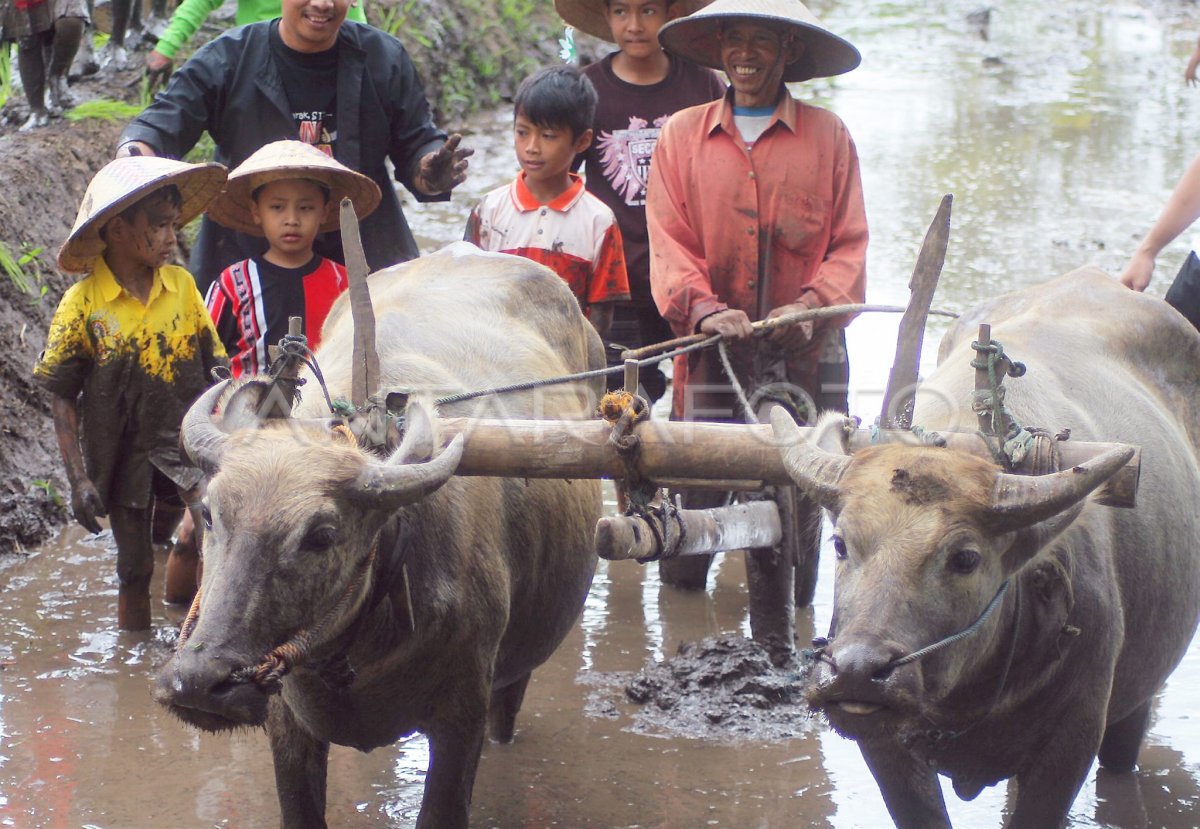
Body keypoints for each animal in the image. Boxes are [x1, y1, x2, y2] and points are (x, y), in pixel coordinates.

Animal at [772, 268, 1195, 825]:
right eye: (841, 544)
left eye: (966, 558)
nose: (858, 671)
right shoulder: (886, 746)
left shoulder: (1073, 740)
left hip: (1137, 700)